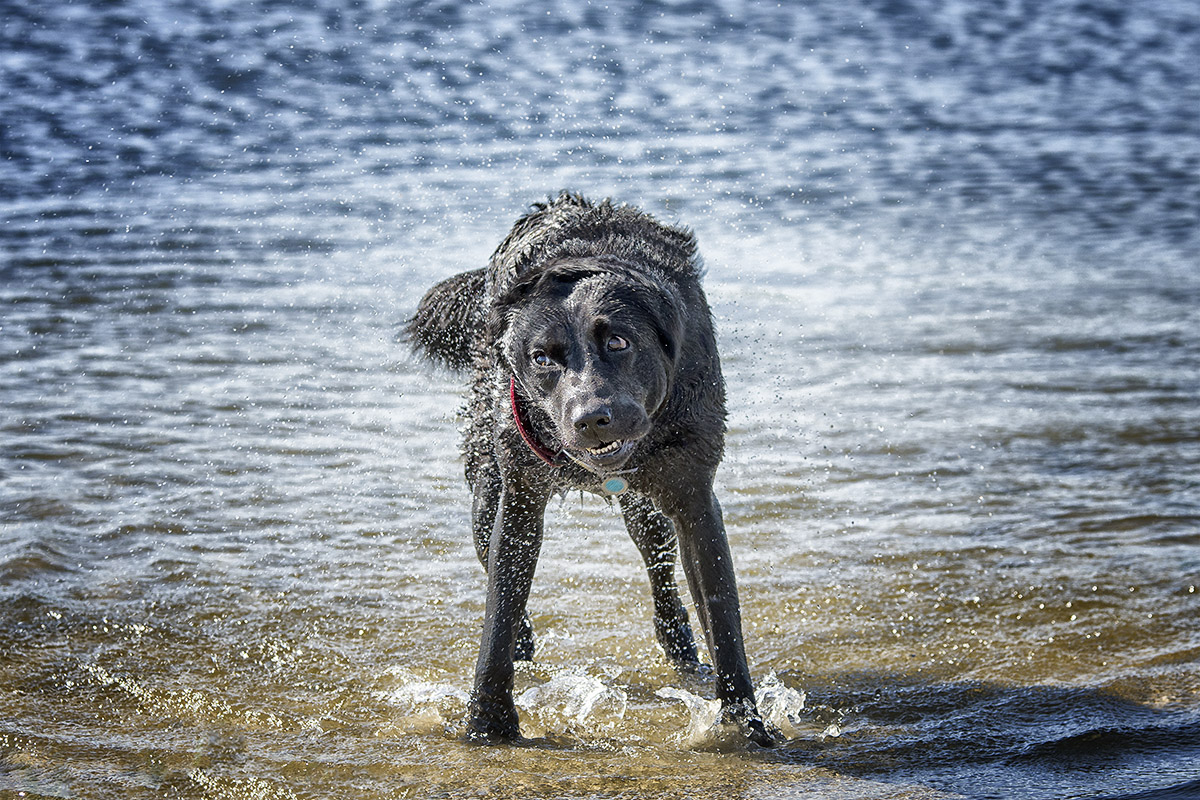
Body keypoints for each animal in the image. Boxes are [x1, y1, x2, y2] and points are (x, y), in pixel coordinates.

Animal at [408, 191, 772, 743]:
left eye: (618, 342)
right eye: (541, 358)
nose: (591, 419)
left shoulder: (693, 499)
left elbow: (723, 619)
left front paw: (746, 726)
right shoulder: (519, 501)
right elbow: (499, 614)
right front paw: (488, 724)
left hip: (647, 513)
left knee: (662, 580)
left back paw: (685, 656)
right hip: (485, 495)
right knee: (494, 566)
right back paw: (524, 647)